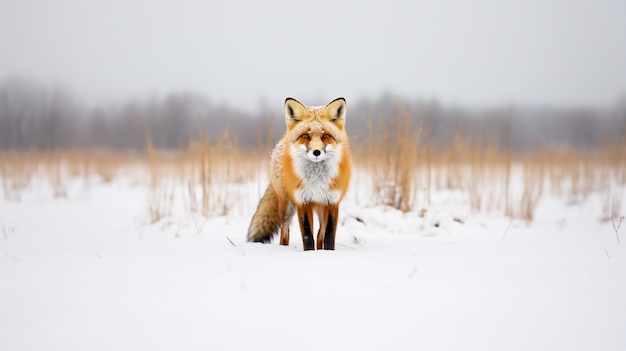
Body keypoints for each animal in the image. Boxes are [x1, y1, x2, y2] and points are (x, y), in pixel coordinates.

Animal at [245, 97, 352, 252]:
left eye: (326, 135)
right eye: (305, 136)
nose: (316, 152)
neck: (316, 181)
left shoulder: (332, 202)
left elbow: (329, 236)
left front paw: (327, 253)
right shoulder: (303, 202)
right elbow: (307, 236)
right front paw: (309, 253)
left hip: (320, 208)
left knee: (320, 233)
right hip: (287, 208)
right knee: (285, 233)